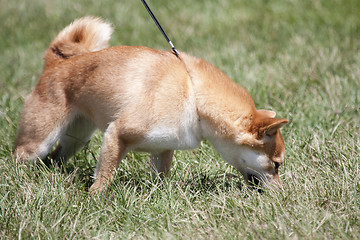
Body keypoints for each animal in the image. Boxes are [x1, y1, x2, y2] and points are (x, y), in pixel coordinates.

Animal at [14, 16, 288, 192]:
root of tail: (56, 64)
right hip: (39, 140)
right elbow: (104, 177)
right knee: (23, 157)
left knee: (55, 158)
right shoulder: (117, 134)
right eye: (276, 165)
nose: (281, 194)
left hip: (77, 137)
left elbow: (161, 178)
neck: (194, 96)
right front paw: (94, 200)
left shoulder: (164, 147)